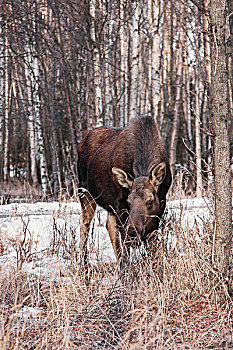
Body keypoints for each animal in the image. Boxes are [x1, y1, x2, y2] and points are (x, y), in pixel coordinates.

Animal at [77, 116, 172, 266]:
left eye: (150, 202)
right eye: (129, 201)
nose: (133, 233)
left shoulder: (161, 203)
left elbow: (153, 245)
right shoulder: (120, 204)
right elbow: (125, 245)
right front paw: (126, 269)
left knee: (108, 226)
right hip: (84, 191)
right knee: (84, 223)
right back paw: (85, 264)